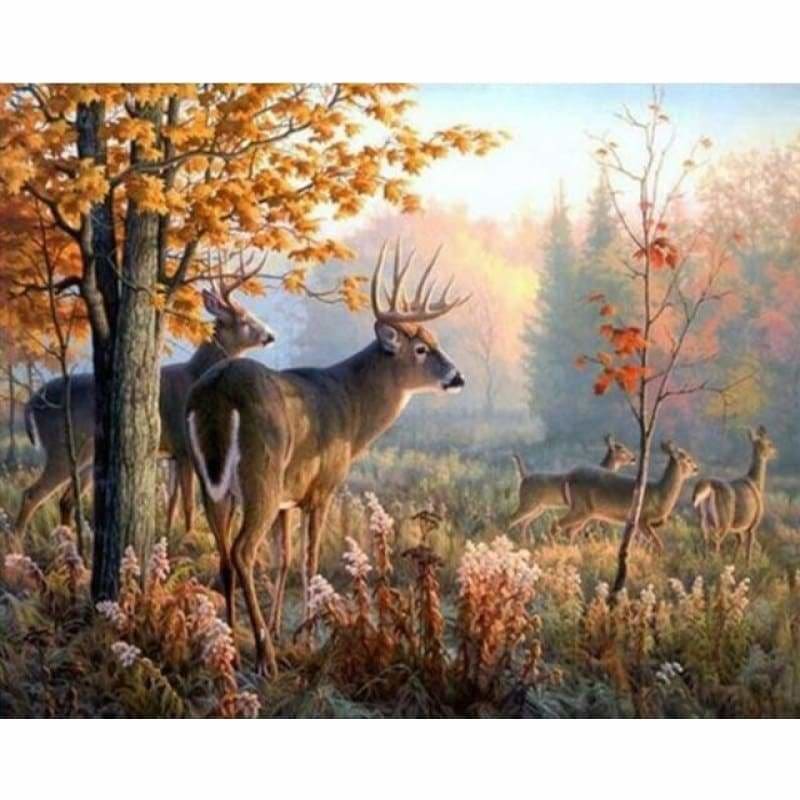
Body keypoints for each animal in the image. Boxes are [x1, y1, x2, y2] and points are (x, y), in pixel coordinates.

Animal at [14, 255, 274, 538]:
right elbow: (188, 504)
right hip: (62, 447)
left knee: (65, 500)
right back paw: (17, 545)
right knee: (31, 495)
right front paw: (188, 536)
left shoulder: (171, 453)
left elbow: (172, 503)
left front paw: (169, 535)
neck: (196, 375)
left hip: (86, 456)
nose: (270, 335)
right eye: (245, 319)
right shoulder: (184, 445)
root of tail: (31, 403)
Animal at [185, 241, 469, 676]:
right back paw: (265, 659)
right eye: (421, 349)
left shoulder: (289, 498)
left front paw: (284, 631)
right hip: (261, 474)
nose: (457, 377)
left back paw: (230, 649)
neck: (350, 410)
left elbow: (284, 558)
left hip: (213, 485)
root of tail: (217, 391)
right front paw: (309, 639)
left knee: (224, 557)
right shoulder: (322, 488)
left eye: (435, 339)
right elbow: (311, 560)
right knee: (242, 551)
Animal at [554, 440, 699, 551]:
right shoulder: (641, 519)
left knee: (570, 531)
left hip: (587, 512)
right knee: (557, 524)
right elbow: (658, 544)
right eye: (688, 459)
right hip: (581, 508)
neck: (660, 494)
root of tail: (569, 476)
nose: (696, 468)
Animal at [692, 425, 777, 565]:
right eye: (769, 443)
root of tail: (708, 485)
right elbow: (748, 550)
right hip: (723, 520)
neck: (757, 483)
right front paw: (748, 566)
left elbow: (739, 543)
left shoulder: (737, 528)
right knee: (716, 542)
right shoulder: (753, 524)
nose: (775, 452)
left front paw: (733, 563)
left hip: (702, 519)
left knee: (705, 540)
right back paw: (715, 564)